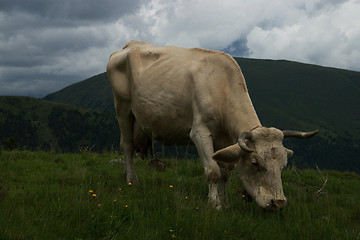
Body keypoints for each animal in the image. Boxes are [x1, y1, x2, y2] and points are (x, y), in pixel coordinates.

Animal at [107, 40, 318, 210]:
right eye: (255, 162)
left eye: (284, 165)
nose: (278, 203)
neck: (222, 86)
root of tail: (131, 44)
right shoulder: (200, 133)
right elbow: (213, 171)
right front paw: (215, 204)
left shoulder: (225, 141)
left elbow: (225, 173)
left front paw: (225, 201)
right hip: (123, 108)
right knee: (127, 146)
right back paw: (132, 180)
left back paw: (126, 173)